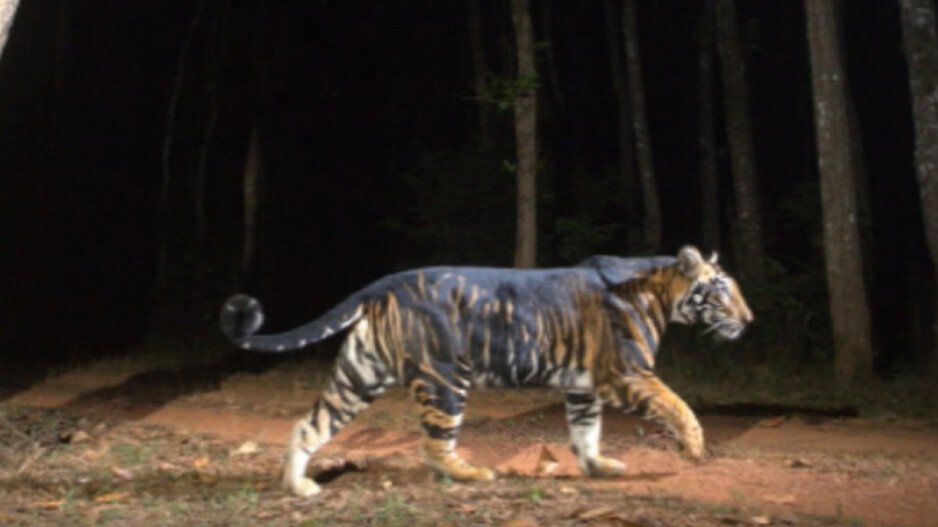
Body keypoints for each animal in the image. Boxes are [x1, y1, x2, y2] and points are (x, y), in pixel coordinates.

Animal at [219, 245, 752, 497]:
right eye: (722, 288)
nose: (748, 320)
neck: (661, 292)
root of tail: (386, 282)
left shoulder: (583, 386)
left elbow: (586, 433)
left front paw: (598, 467)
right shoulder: (627, 374)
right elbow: (679, 406)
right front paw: (694, 448)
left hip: (359, 374)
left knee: (309, 424)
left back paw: (299, 487)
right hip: (444, 379)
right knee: (434, 444)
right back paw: (473, 472)